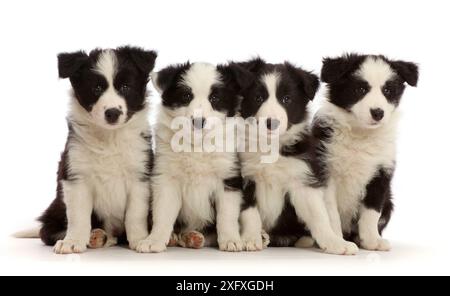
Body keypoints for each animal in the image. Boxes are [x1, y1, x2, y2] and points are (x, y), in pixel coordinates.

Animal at [38, 46, 158, 254]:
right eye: (96, 89)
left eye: (125, 87)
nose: (112, 113)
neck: (110, 138)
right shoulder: (76, 177)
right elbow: (78, 216)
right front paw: (73, 241)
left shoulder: (139, 176)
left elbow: (135, 214)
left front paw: (140, 239)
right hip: (56, 209)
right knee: (47, 232)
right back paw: (97, 236)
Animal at [136, 61, 264, 252]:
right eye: (186, 96)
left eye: (215, 98)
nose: (198, 122)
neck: (198, 145)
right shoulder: (166, 180)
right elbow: (163, 214)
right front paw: (154, 240)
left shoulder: (229, 180)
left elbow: (227, 216)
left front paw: (231, 240)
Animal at [236, 57, 358, 254]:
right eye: (258, 98)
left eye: (286, 99)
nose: (271, 123)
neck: (270, 148)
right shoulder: (245, 179)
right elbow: (250, 213)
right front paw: (250, 239)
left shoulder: (302, 179)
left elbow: (319, 216)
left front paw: (335, 242)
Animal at [314, 52, 420, 250]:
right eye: (360, 89)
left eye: (388, 91)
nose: (378, 112)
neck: (361, 135)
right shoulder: (326, 171)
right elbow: (331, 213)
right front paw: (337, 241)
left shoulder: (380, 173)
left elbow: (372, 211)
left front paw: (372, 241)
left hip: (389, 203)